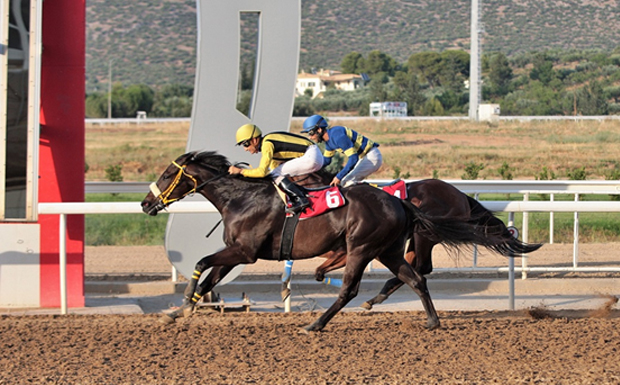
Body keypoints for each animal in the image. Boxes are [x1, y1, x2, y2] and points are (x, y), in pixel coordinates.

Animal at [143, 150, 512, 330]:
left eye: (166, 174)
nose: (146, 203)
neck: (242, 198)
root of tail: (399, 202)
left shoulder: (244, 252)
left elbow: (202, 262)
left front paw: (184, 302)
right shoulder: (237, 252)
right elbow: (210, 278)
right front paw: (179, 312)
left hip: (366, 246)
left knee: (352, 288)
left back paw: (316, 323)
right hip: (389, 250)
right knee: (416, 277)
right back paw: (431, 321)